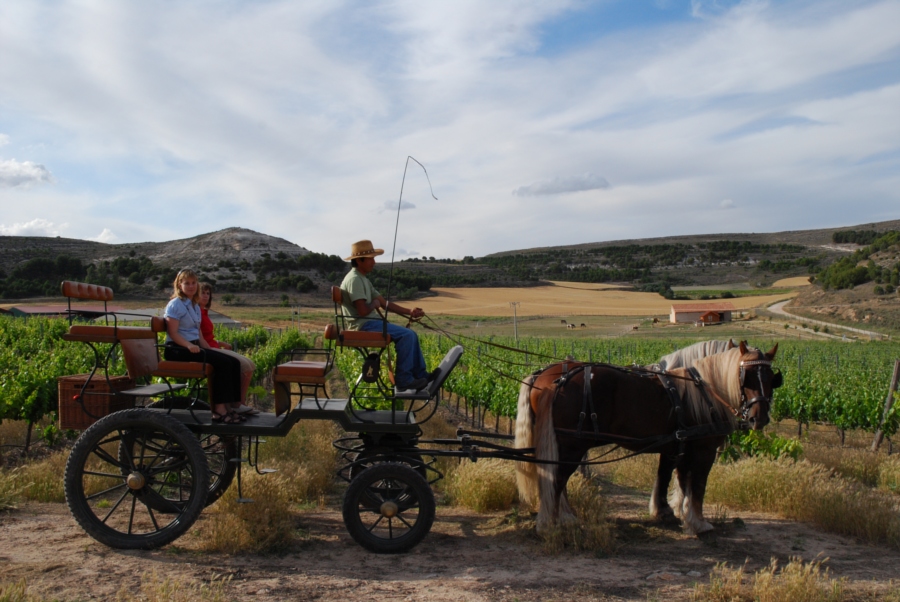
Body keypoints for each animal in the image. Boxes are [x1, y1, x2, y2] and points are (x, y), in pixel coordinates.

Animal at [516, 342, 776, 536]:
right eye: (746, 376)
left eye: (772, 377)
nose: (759, 417)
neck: (702, 390)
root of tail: (550, 379)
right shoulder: (704, 450)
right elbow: (698, 485)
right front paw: (698, 522)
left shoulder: (676, 445)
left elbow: (673, 477)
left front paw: (670, 512)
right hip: (572, 445)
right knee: (556, 480)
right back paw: (551, 524)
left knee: (557, 479)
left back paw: (564, 517)